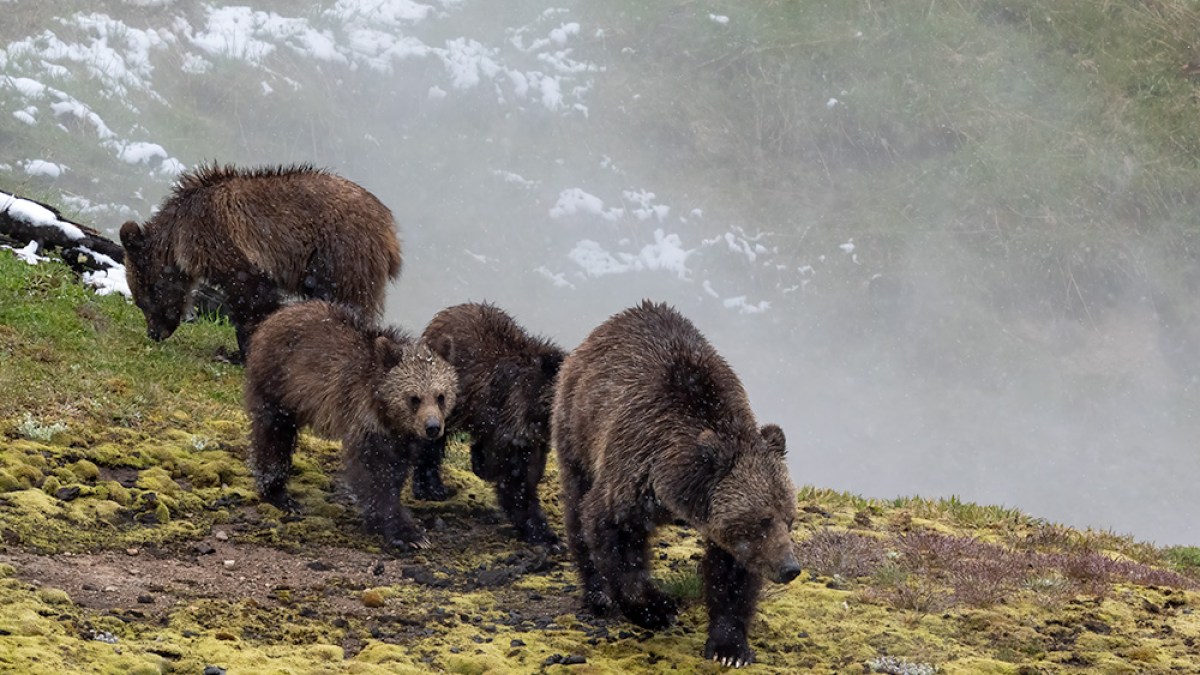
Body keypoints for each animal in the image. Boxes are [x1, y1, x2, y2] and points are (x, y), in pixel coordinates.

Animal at [119, 164, 402, 362]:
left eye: (144, 298)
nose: (154, 333)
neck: (179, 235)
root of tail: (389, 229)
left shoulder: (225, 242)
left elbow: (253, 297)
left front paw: (237, 352)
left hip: (341, 255)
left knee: (347, 302)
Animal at [244, 300, 457, 550]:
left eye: (441, 396)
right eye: (414, 398)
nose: (432, 427)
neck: (387, 413)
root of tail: (278, 314)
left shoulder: (400, 436)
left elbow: (396, 469)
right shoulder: (364, 418)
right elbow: (374, 471)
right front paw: (407, 532)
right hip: (278, 384)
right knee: (273, 435)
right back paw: (279, 493)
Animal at [412, 302, 565, 548]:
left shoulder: (531, 438)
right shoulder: (513, 425)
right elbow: (517, 480)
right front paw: (545, 535)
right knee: (431, 439)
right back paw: (430, 486)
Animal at [551, 300, 800, 668]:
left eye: (789, 518)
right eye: (763, 520)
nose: (789, 567)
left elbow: (732, 572)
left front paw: (729, 647)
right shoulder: (632, 472)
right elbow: (613, 536)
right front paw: (657, 608)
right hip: (576, 425)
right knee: (576, 505)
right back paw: (597, 594)